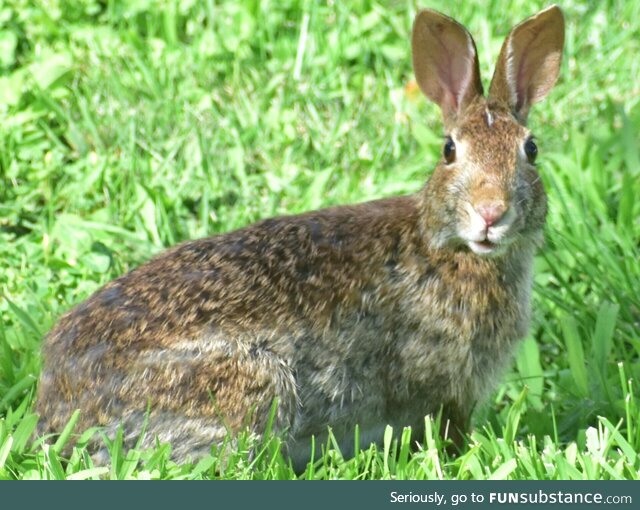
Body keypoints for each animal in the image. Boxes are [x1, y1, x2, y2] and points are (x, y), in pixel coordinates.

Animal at [36, 6, 564, 470]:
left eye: (531, 150)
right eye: (450, 150)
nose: (491, 212)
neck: (446, 249)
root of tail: (58, 409)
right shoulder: (444, 388)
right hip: (250, 387)